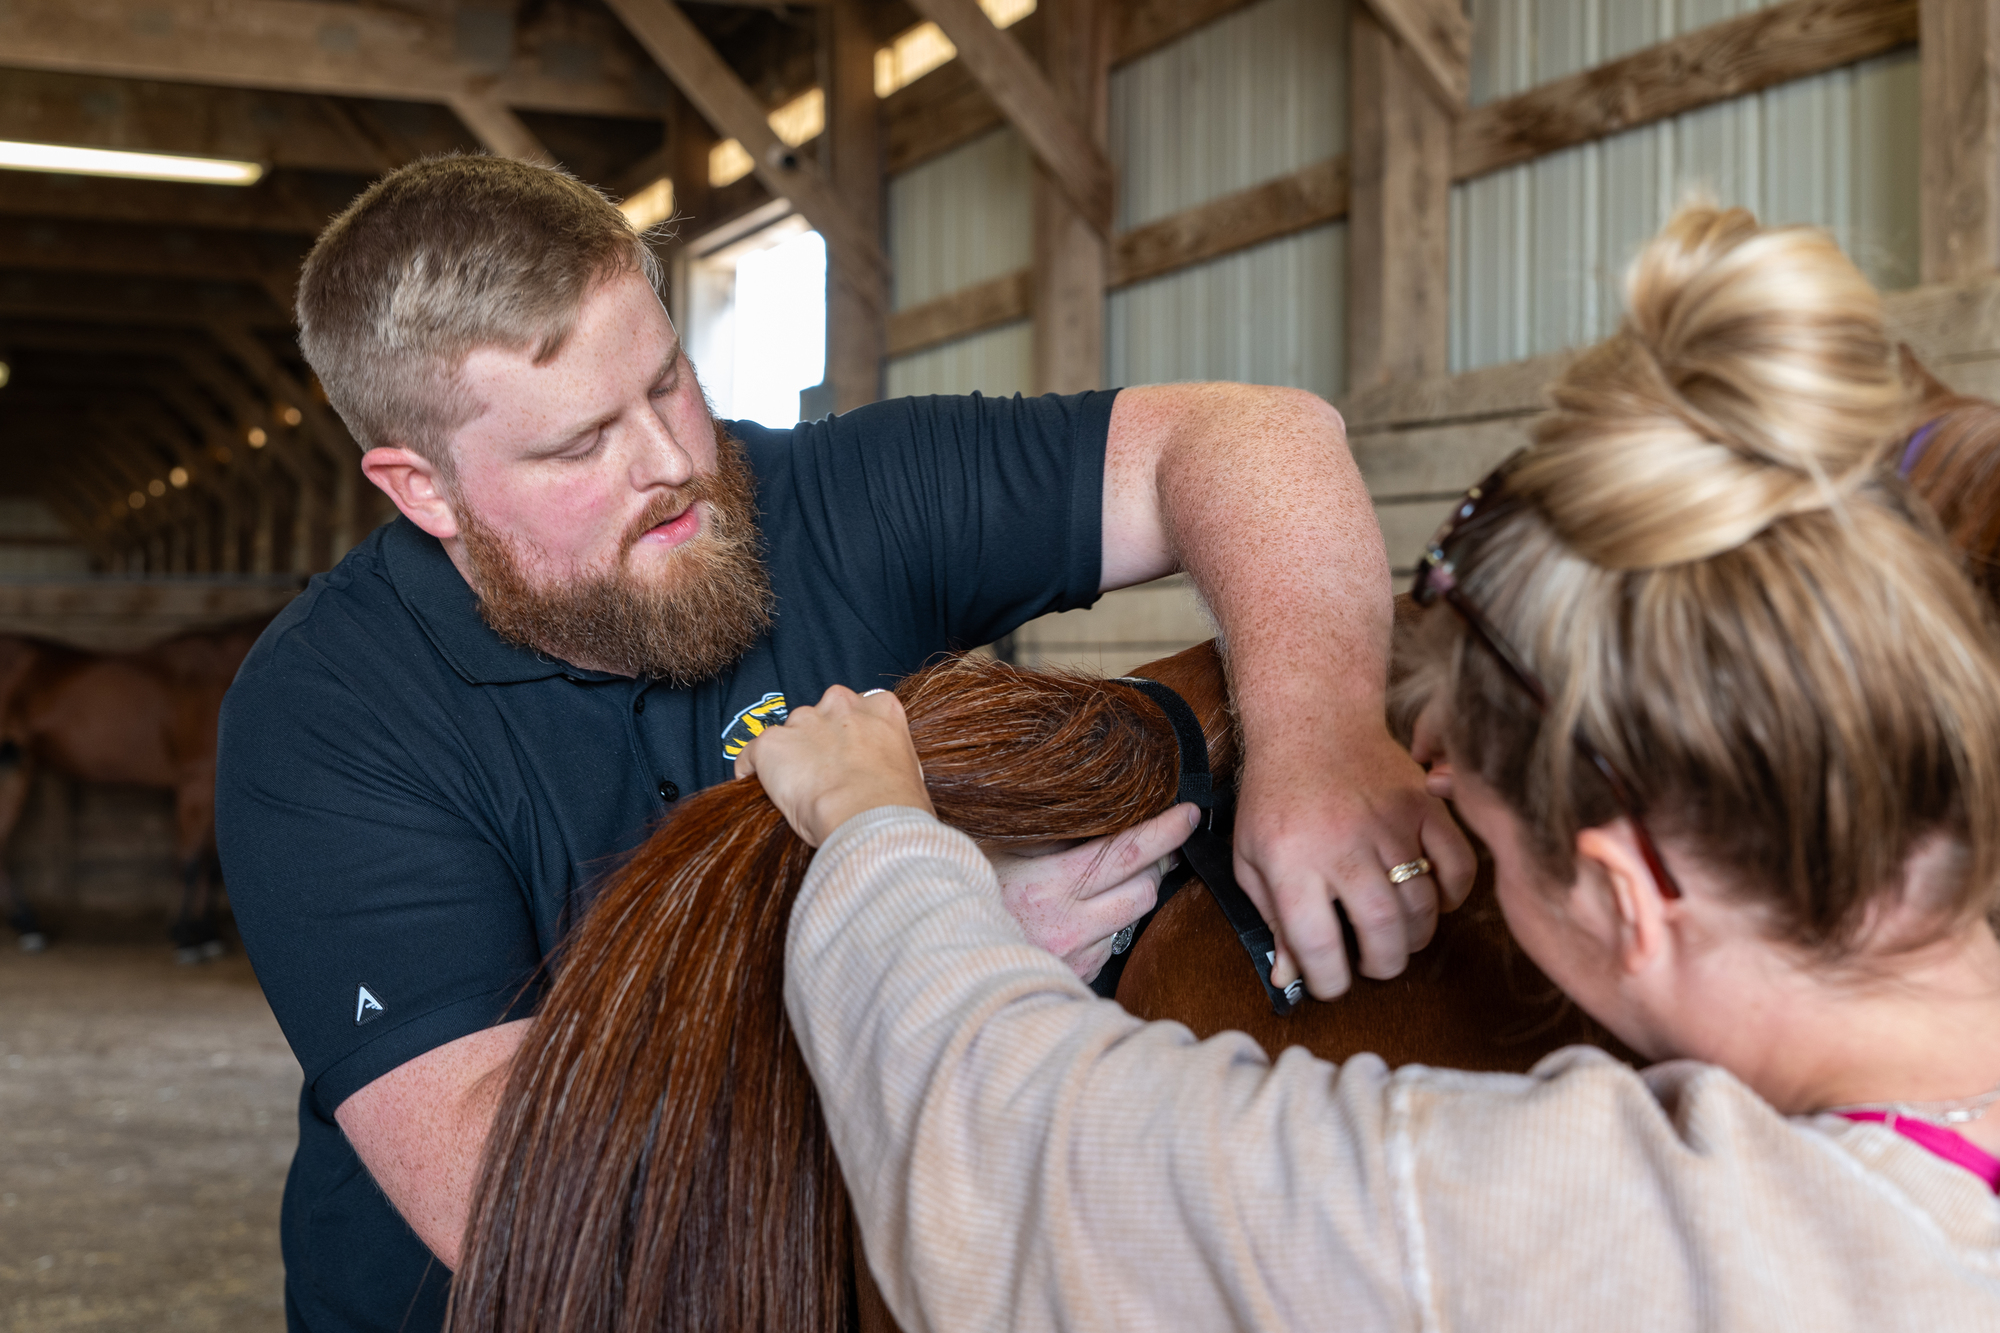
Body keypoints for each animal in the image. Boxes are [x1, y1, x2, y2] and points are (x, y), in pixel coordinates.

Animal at [0, 616, 270, 960]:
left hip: (15, 769)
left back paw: (28, 926)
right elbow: (189, 863)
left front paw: (207, 935)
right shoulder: (196, 784)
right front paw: (184, 938)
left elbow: (210, 865)